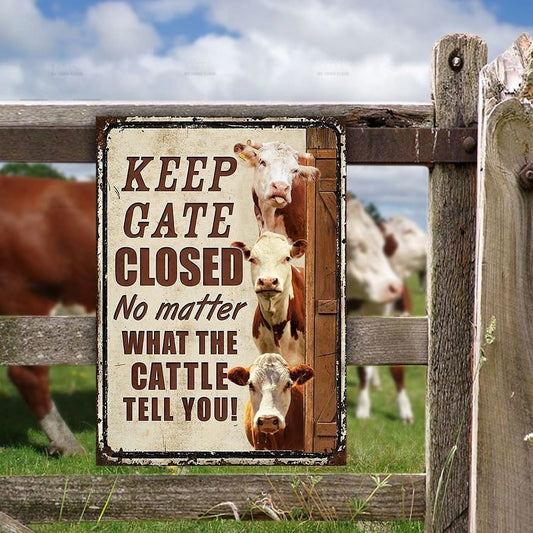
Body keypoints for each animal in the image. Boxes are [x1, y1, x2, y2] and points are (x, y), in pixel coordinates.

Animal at [348, 197, 414, 422]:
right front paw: (363, 407)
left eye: (382, 245)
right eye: (353, 245)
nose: (393, 287)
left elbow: (397, 369)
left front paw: (405, 410)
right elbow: (362, 370)